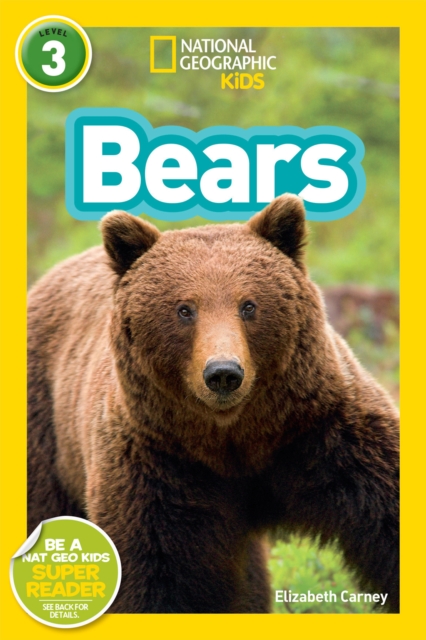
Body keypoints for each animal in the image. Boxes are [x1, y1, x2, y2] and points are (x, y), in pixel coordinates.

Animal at [27, 194, 399, 613]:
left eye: (249, 305)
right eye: (184, 309)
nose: (223, 372)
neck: (232, 439)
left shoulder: (325, 432)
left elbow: (387, 512)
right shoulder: (157, 467)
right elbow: (152, 575)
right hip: (44, 433)